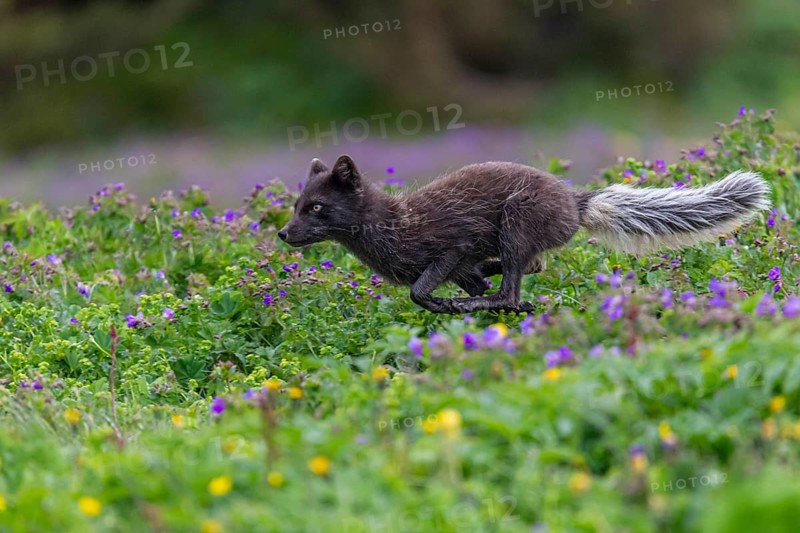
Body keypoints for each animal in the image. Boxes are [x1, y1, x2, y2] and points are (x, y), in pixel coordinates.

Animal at [278, 155, 771, 314]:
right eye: (298, 204)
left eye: (317, 208)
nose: (283, 233)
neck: (393, 227)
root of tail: (575, 201)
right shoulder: (461, 266)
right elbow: (464, 280)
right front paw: (452, 300)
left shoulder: (455, 243)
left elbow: (421, 289)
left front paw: (443, 304)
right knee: (530, 267)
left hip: (516, 219)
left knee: (513, 290)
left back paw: (484, 303)